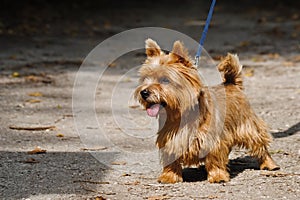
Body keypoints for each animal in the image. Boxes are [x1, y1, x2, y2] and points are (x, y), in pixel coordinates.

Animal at [134, 38, 278, 184]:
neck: (180, 115)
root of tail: (232, 83)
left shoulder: (212, 140)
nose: (144, 92)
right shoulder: (169, 140)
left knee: (260, 145)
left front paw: (218, 176)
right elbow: (171, 160)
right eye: (145, 78)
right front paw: (169, 176)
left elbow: (215, 159)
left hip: (248, 127)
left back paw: (269, 164)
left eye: (165, 80)